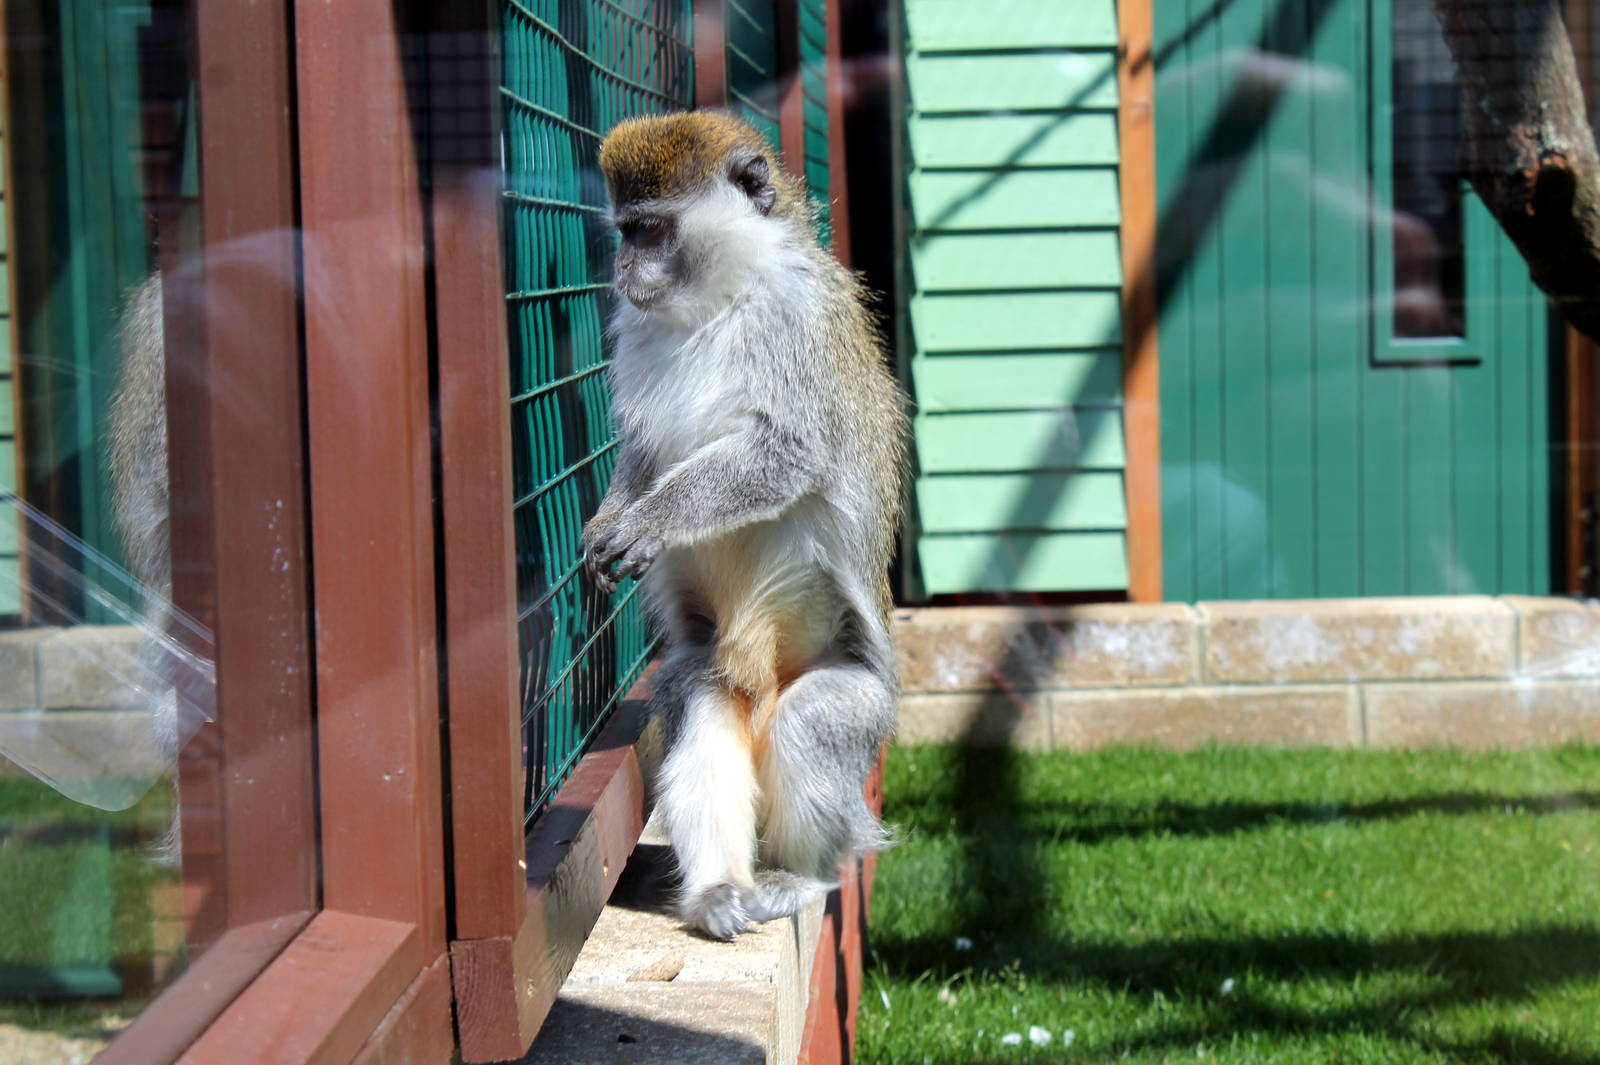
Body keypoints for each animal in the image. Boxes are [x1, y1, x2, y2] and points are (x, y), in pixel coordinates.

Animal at [584, 111, 908, 940]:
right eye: (623, 232)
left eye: (651, 230)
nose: (621, 270)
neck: (721, 300)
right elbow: (643, 450)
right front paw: (610, 517)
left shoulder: (793, 324)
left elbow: (784, 453)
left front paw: (654, 518)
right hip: (714, 670)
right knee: (697, 703)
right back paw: (717, 890)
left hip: (861, 704)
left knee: (814, 721)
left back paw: (800, 875)